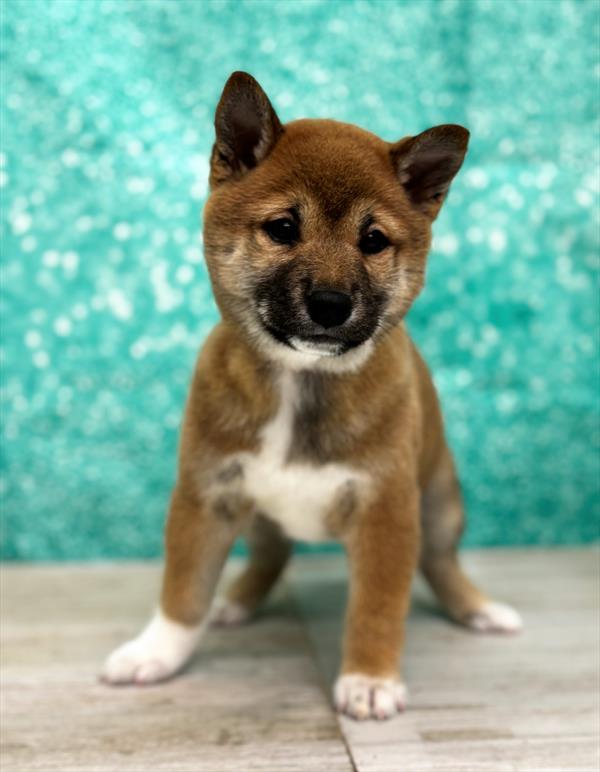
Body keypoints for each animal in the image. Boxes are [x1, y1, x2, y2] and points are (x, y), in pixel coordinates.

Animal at [102, 71, 520, 716]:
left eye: (373, 240)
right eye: (282, 229)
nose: (330, 304)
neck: (300, 381)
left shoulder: (386, 512)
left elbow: (376, 607)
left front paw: (370, 678)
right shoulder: (206, 496)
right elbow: (182, 590)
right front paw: (158, 651)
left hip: (439, 504)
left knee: (442, 564)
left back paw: (478, 610)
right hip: (257, 516)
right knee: (271, 555)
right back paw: (236, 600)